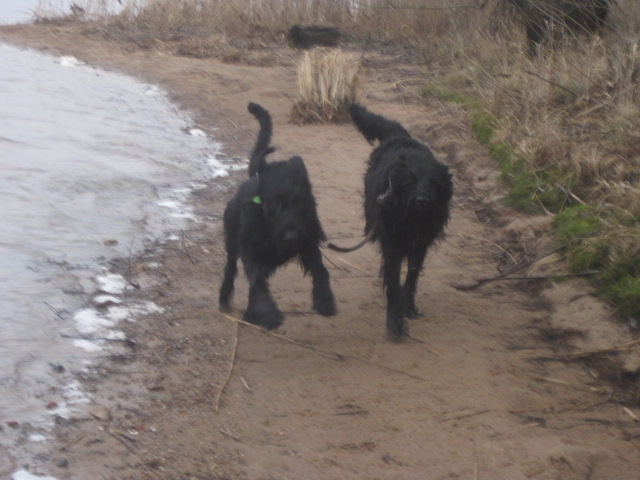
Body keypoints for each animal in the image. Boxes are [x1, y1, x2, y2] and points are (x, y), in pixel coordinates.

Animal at [218, 102, 336, 329]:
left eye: (301, 202)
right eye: (274, 205)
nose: (291, 237)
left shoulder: (308, 245)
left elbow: (320, 270)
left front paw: (325, 300)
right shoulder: (251, 252)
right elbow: (257, 283)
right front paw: (269, 314)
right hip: (232, 243)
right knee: (230, 270)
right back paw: (227, 300)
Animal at [349, 103, 453, 338]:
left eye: (433, 183)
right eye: (409, 182)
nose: (422, 200)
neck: (412, 219)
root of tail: (399, 136)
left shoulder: (420, 246)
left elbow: (412, 278)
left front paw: (409, 307)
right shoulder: (393, 248)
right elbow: (394, 283)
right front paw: (395, 323)